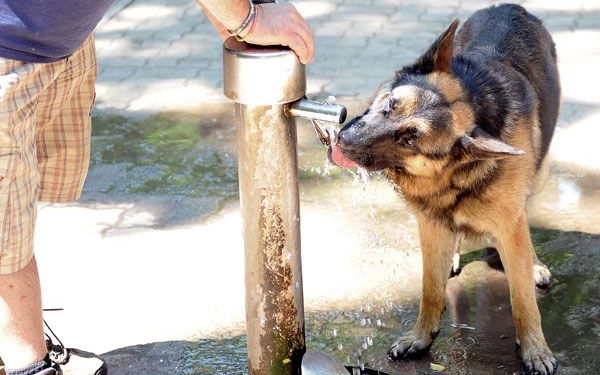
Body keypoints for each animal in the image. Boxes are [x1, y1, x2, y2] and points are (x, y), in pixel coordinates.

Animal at [330, 3, 560, 375]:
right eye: (390, 104)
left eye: (409, 138)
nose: (343, 141)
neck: (453, 176)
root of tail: (510, 7)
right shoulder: (430, 223)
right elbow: (430, 289)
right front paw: (421, 337)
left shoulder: (509, 225)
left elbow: (522, 298)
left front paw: (535, 349)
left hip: (537, 175)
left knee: (525, 216)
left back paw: (534, 264)